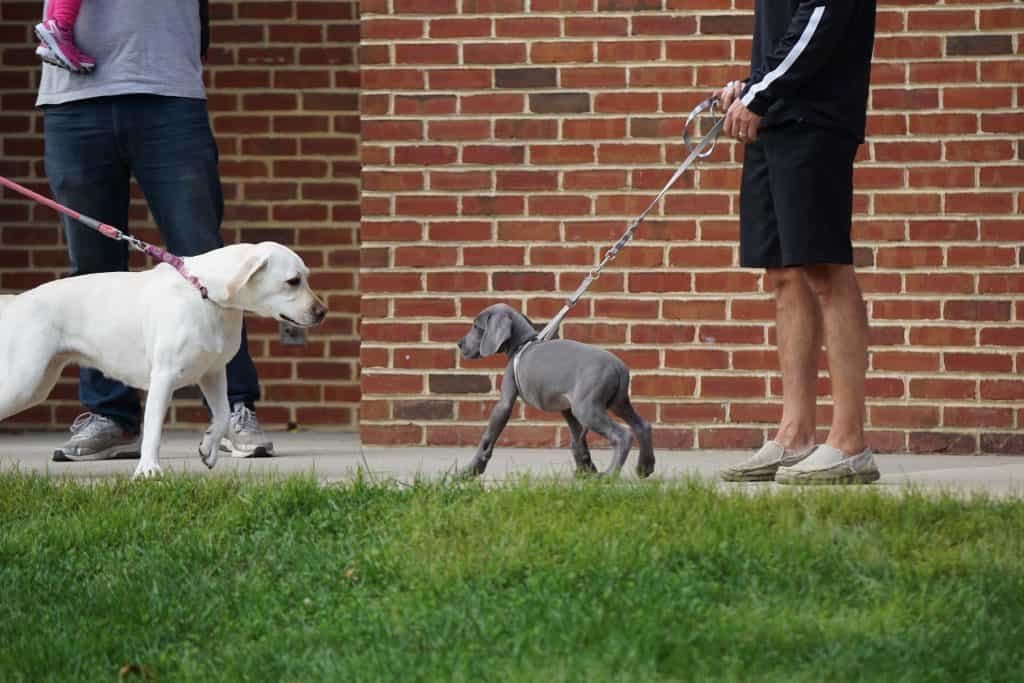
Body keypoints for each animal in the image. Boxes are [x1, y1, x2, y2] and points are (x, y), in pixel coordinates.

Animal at [0, 242, 323, 479]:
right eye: (293, 281)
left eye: (306, 277)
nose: (323, 312)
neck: (205, 293)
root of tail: (14, 302)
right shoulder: (164, 377)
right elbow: (153, 429)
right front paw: (148, 471)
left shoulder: (213, 373)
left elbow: (221, 416)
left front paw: (208, 448)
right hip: (22, 383)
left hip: (38, 382)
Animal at [458, 305, 655, 481]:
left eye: (476, 326)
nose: (459, 344)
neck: (522, 344)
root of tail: (618, 367)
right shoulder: (566, 409)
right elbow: (578, 440)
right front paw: (585, 470)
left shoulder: (505, 403)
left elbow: (487, 438)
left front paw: (470, 471)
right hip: (618, 403)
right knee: (642, 426)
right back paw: (645, 467)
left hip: (587, 409)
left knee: (623, 435)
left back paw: (609, 475)